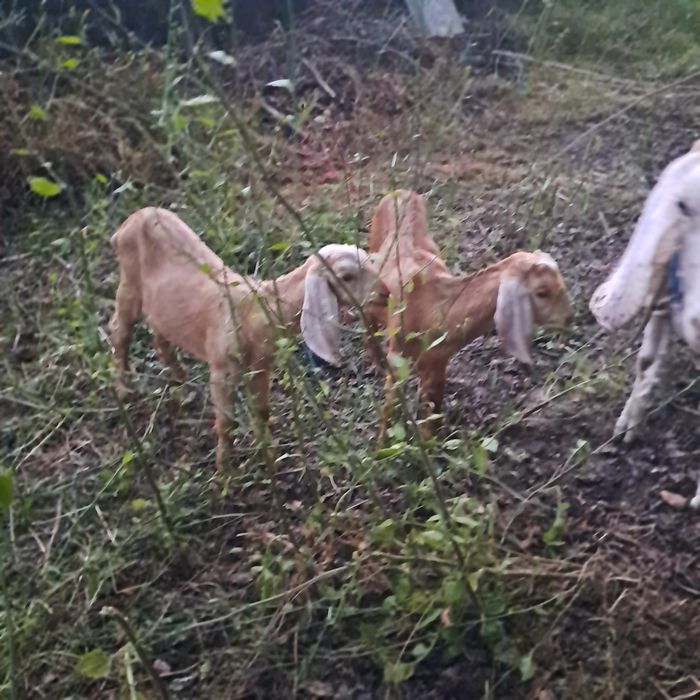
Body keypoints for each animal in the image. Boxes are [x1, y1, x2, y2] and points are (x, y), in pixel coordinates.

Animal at [109, 207, 389, 468]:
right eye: (346, 277)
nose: (385, 293)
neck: (259, 309)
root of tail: (132, 219)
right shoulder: (222, 368)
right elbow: (226, 422)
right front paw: (225, 472)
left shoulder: (262, 366)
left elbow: (262, 411)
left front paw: (268, 457)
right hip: (128, 287)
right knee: (118, 332)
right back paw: (124, 391)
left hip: (158, 305)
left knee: (159, 334)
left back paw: (181, 383)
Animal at [366, 190, 571, 442]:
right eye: (542, 292)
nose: (568, 318)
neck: (430, 308)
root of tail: (402, 191)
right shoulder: (397, 357)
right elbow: (390, 407)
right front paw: (380, 446)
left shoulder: (438, 363)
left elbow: (433, 413)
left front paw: (434, 445)